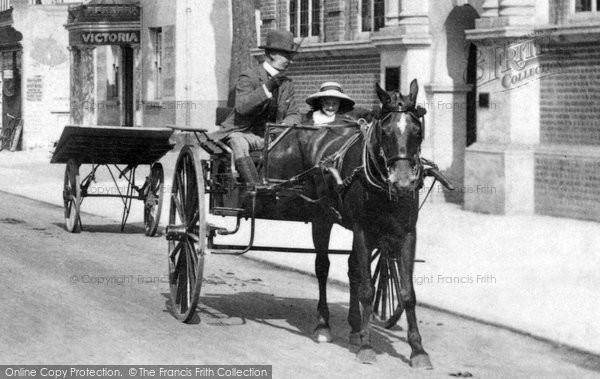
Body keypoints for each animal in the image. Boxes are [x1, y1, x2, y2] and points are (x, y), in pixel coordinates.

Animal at [268, 79, 432, 368]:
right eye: (385, 131)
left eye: (417, 130)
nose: (402, 183)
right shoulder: (363, 231)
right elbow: (367, 289)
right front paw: (367, 346)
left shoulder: (406, 234)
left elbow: (407, 293)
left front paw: (417, 350)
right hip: (322, 217)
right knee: (322, 267)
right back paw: (323, 325)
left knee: (353, 268)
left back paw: (355, 327)